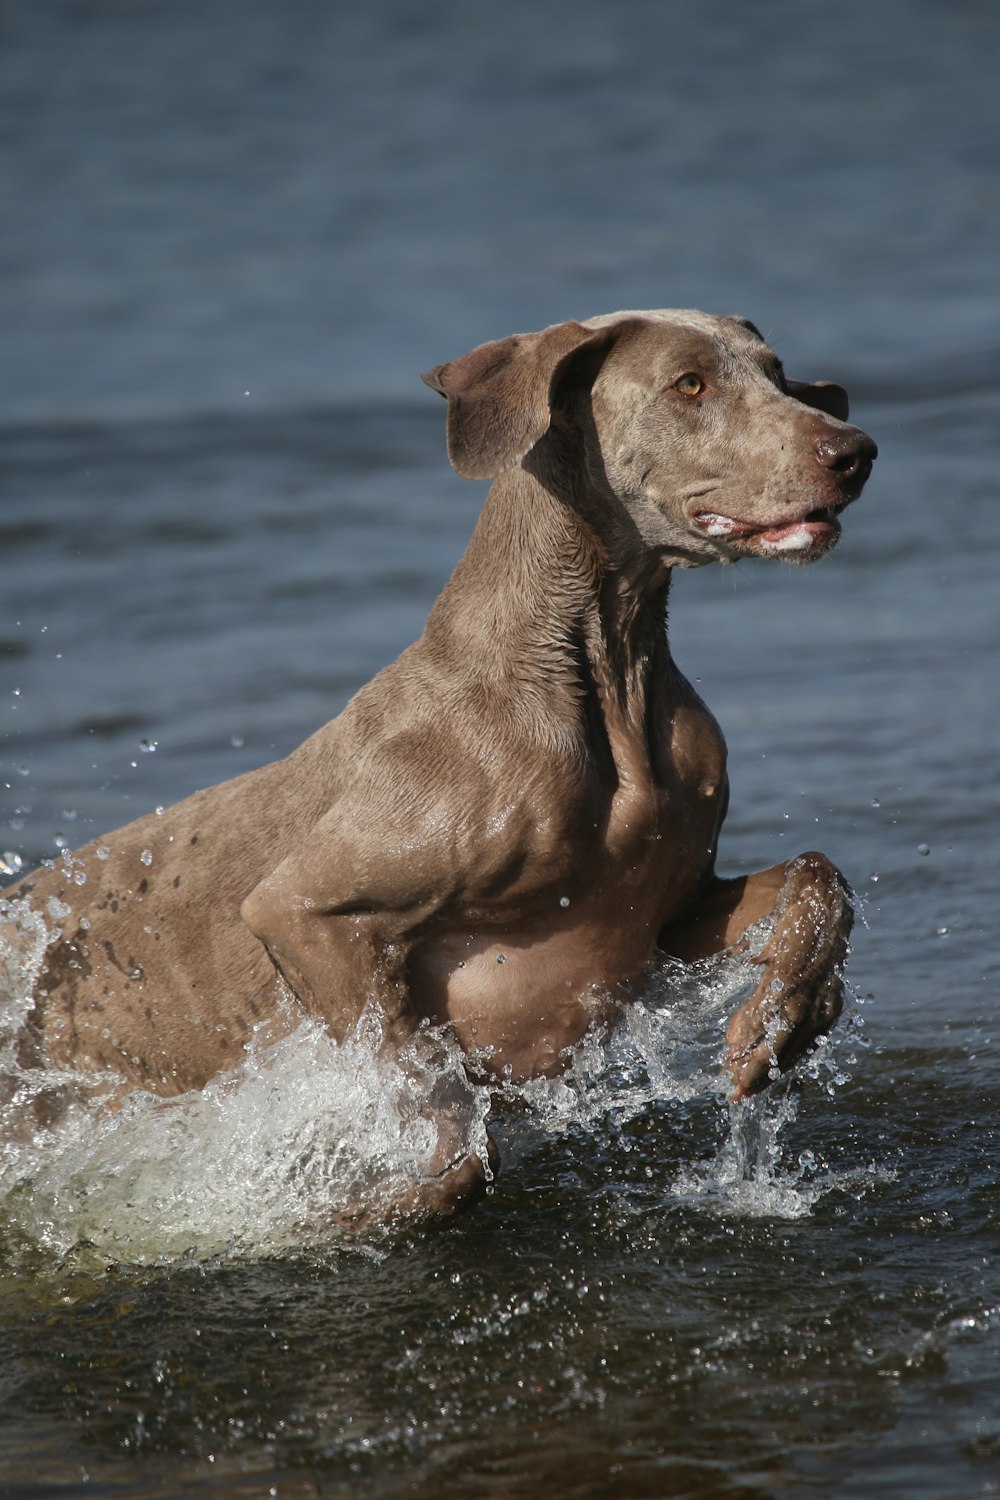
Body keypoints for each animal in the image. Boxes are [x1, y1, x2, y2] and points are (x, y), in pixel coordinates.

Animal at [1, 310, 875, 1212]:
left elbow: (818, 876)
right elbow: (439, 1111)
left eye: (775, 371)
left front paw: (781, 1021)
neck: (605, 681)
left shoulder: (665, 911)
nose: (855, 450)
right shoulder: (304, 910)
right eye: (689, 384)